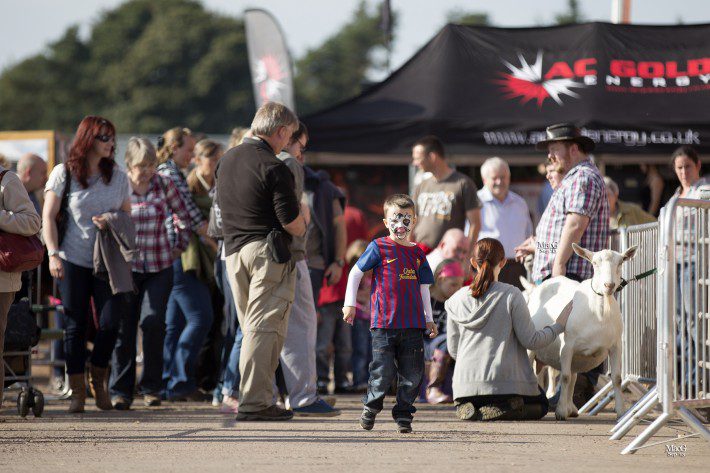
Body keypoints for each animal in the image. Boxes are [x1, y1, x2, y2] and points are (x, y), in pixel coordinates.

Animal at [528, 242, 640, 418]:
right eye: (594, 263)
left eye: (621, 262)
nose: (609, 285)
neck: (599, 313)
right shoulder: (567, 347)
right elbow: (565, 377)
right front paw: (560, 412)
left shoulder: (616, 346)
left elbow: (616, 378)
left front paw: (621, 411)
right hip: (533, 349)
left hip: (576, 358)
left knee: (573, 377)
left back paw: (572, 408)